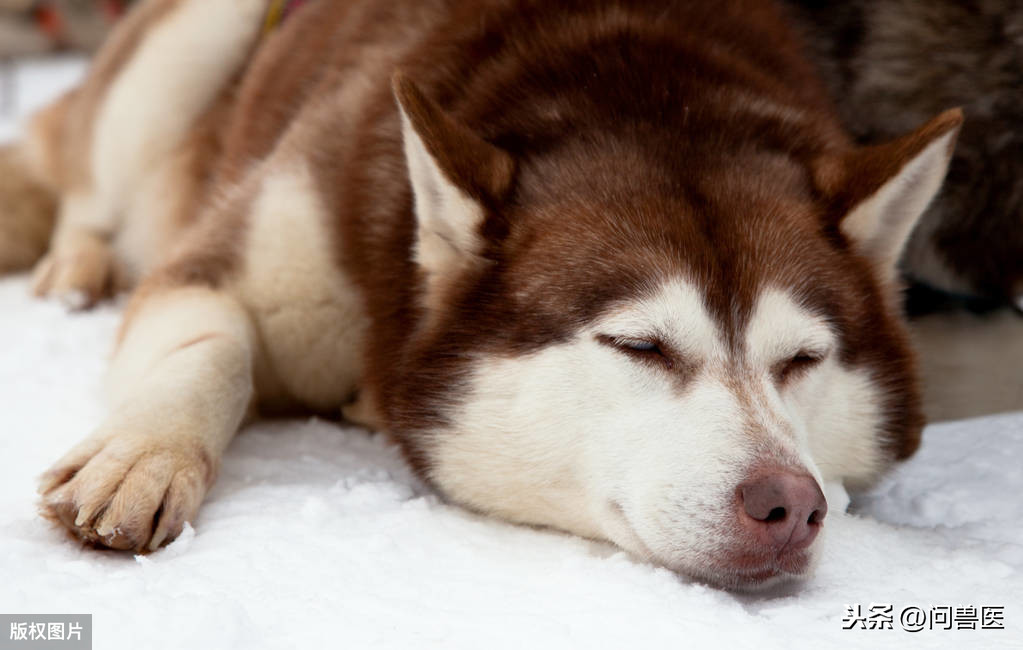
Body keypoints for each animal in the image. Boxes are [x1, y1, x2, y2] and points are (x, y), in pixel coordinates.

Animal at [0, 0, 957, 589]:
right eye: (639, 345)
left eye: (801, 359)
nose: (787, 504)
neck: (636, 80)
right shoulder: (244, 249)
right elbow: (216, 348)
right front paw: (144, 458)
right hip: (190, 50)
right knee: (83, 183)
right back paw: (76, 264)